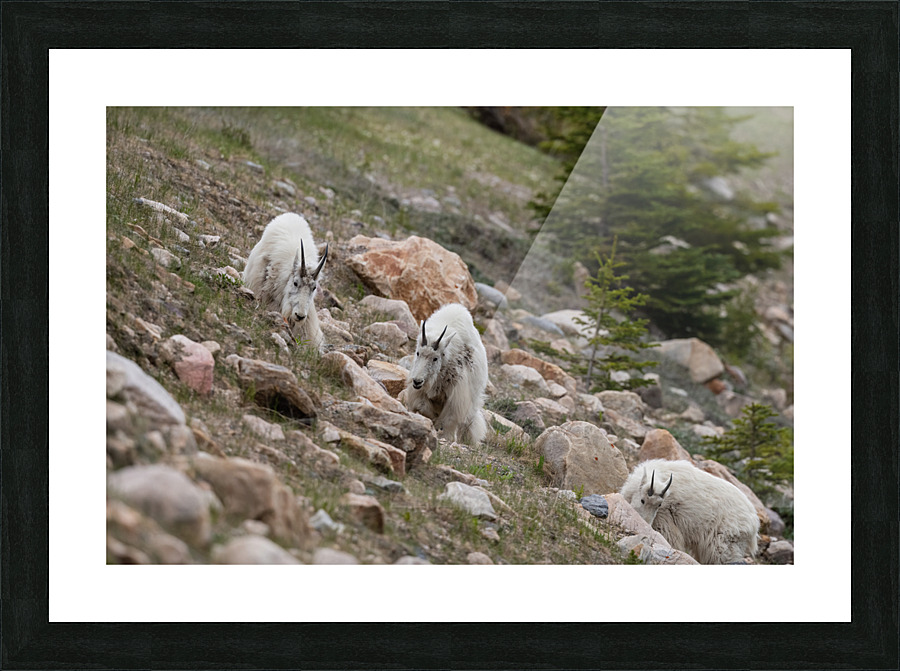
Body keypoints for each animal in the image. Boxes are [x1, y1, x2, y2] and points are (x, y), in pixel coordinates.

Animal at [404, 303, 488, 446]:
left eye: (435, 358)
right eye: (418, 353)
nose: (417, 381)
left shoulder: (457, 395)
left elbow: (449, 418)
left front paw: (445, 436)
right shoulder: (420, 392)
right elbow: (423, 407)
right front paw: (432, 422)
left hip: (473, 402)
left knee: (467, 423)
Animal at [620, 459, 759, 564]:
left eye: (659, 505)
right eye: (642, 500)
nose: (645, 524)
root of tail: (754, 524)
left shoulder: (665, 520)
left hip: (724, 544)